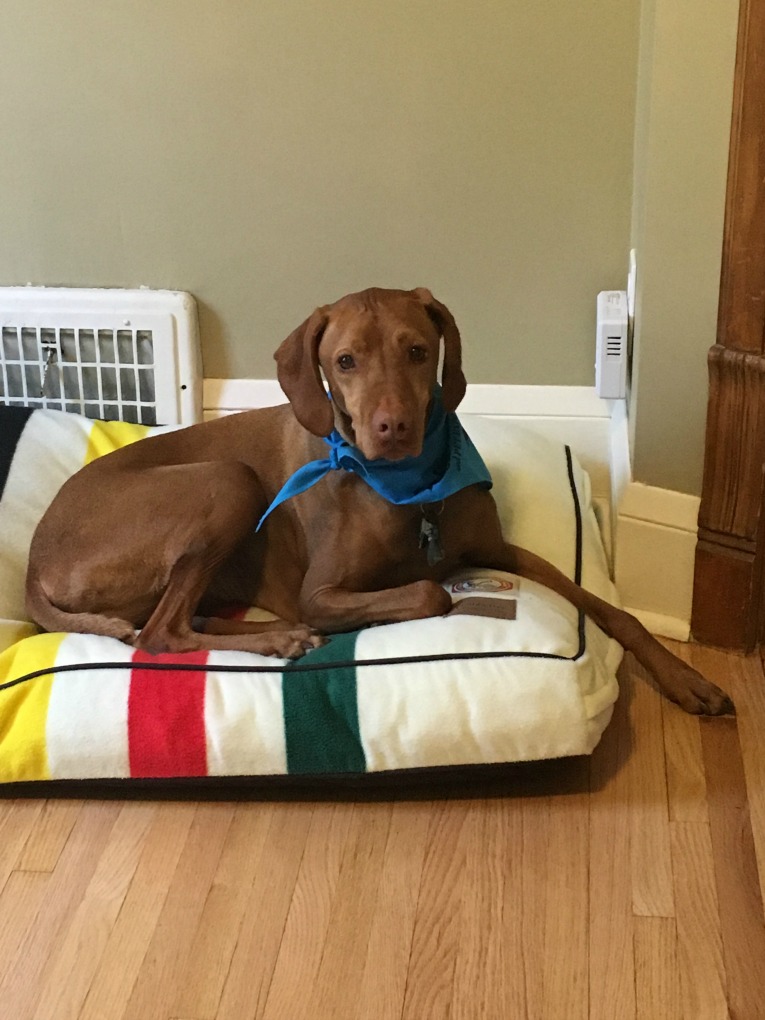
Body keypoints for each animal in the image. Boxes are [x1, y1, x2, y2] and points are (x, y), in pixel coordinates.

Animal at [25, 286, 733, 716]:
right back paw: (282, 636)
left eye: (418, 352)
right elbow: (429, 591)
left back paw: (279, 634)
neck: (412, 489)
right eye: (344, 362)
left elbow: (612, 611)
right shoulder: (321, 590)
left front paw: (686, 679)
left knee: (176, 621)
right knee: (160, 632)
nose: (392, 427)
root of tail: (33, 562)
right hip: (228, 479)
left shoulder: (500, 548)